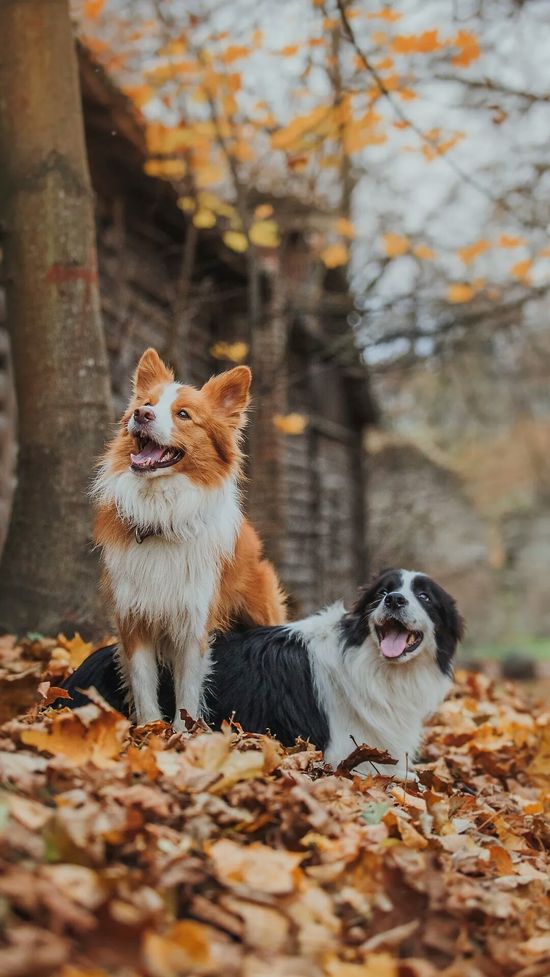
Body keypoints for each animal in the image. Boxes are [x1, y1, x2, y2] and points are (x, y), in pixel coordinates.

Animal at [92, 348, 286, 724]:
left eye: (183, 414)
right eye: (147, 403)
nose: (141, 414)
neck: (160, 514)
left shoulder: (193, 620)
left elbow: (187, 691)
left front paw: (183, 734)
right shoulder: (133, 616)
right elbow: (143, 685)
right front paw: (150, 731)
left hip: (263, 610)